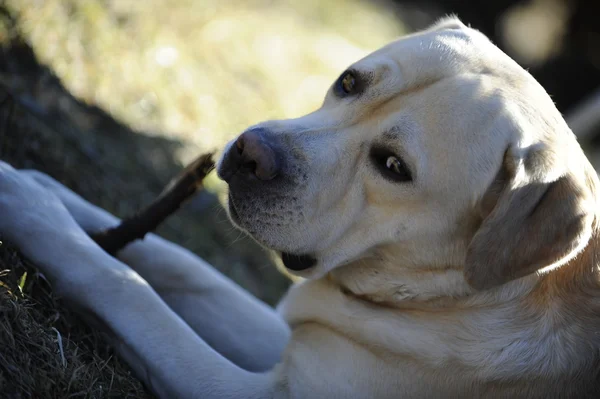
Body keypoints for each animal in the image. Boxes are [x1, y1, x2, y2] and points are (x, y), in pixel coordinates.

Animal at [1, 16, 600, 399]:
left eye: (394, 166)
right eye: (349, 81)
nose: (249, 153)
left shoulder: (261, 390)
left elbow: (129, 290)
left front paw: (33, 207)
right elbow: (179, 265)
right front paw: (51, 194)